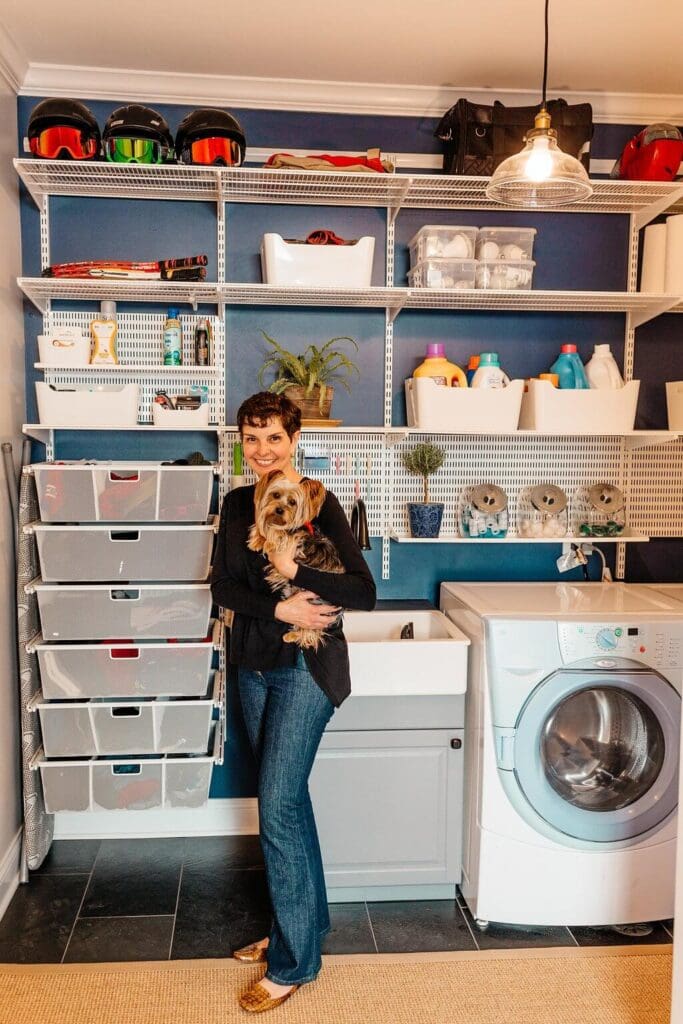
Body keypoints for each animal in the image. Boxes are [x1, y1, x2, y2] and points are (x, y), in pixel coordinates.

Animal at [248, 468, 344, 647]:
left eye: (292, 502)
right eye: (276, 495)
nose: (279, 510)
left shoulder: (294, 539)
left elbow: (278, 534)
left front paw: (268, 543)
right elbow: (264, 526)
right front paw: (257, 539)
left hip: (315, 603)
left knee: (312, 631)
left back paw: (294, 636)